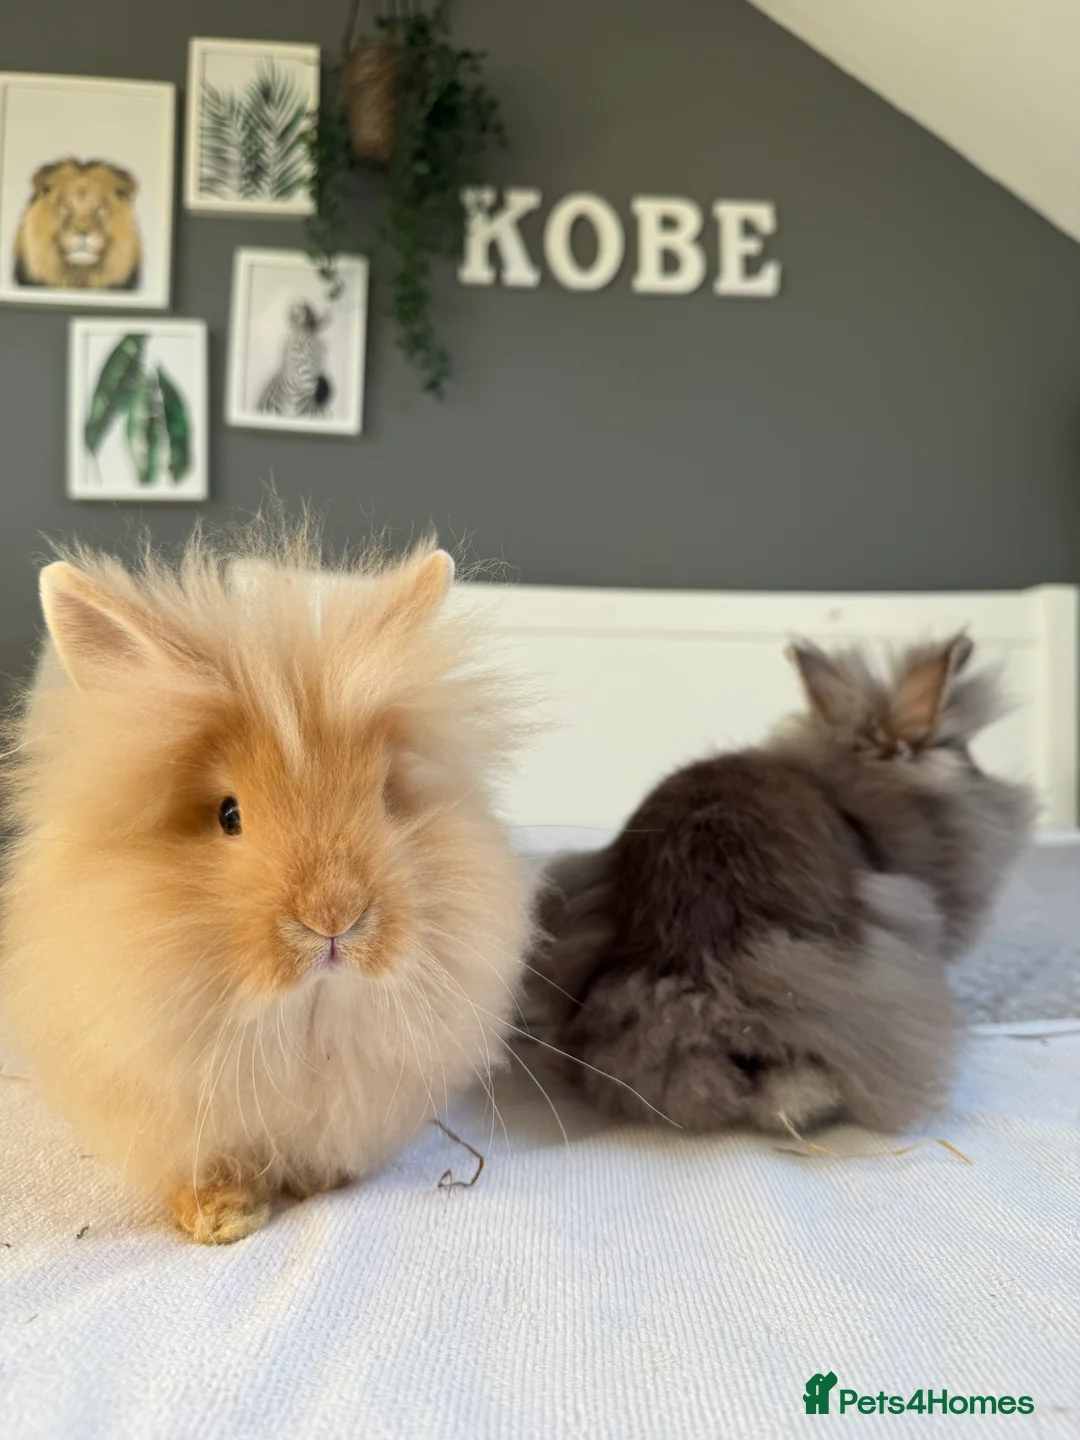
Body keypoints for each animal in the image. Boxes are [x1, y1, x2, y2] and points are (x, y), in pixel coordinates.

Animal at [0, 527, 529, 1243]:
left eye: (385, 797)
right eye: (230, 814)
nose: (335, 916)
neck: (301, 1021)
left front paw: (318, 1188)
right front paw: (224, 1222)